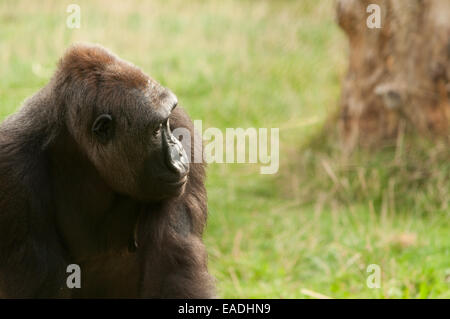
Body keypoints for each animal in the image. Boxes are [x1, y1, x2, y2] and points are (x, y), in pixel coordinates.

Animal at [0, 43, 215, 298]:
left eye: (167, 122)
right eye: (155, 130)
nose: (179, 153)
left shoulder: (184, 129)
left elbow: (173, 268)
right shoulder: (11, 167)